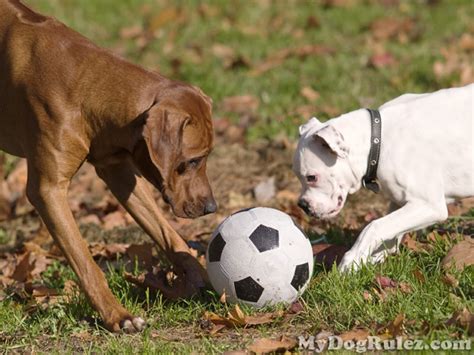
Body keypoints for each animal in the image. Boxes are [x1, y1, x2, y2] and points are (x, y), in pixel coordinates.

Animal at [0, 0, 217, 334]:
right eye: (192, 161)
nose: (211, 208)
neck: (84, 85)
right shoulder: (48, 191)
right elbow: (86, 263)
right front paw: (117, 315)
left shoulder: (119, 171)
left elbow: (169, 235)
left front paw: (203, 280)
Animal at [294, 84, 472, 272]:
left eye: (312, 177)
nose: (302, 205)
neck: (378, 139)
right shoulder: (400, 202)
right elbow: (390, 234)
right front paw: (371, 259)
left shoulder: (429, 206)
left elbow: (374, 226)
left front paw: (351, 261)